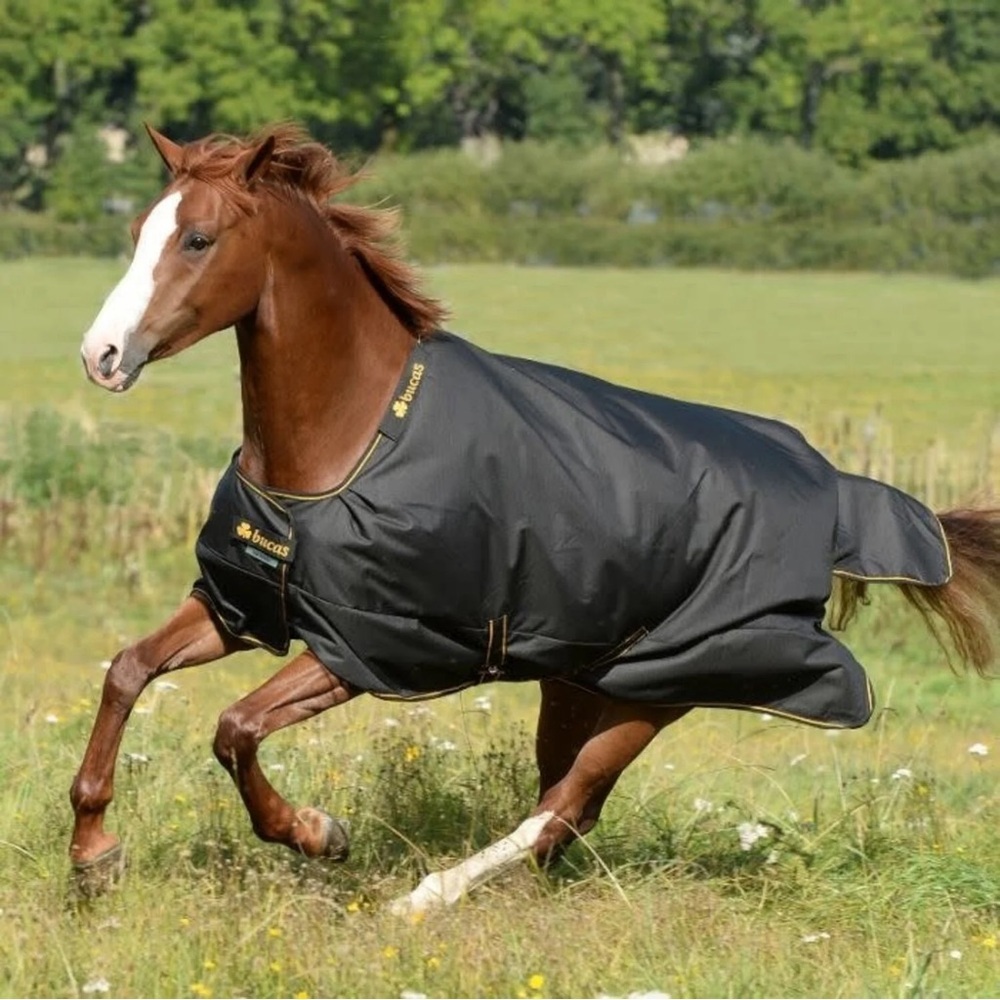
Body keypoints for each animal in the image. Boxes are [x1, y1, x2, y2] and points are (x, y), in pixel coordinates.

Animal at [73, 123, 1000, 913]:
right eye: (139, 231)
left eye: (198, 240)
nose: (101, 356)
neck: (348, 439)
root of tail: (833, 490)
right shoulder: (245, 605)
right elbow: (127, 670)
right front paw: (92, 853)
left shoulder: (367, 648)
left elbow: (234, 728)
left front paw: (317, 834)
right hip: (580, 677)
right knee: (567, 808)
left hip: (662, 688)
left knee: (562, 804)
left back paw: (423, 899)